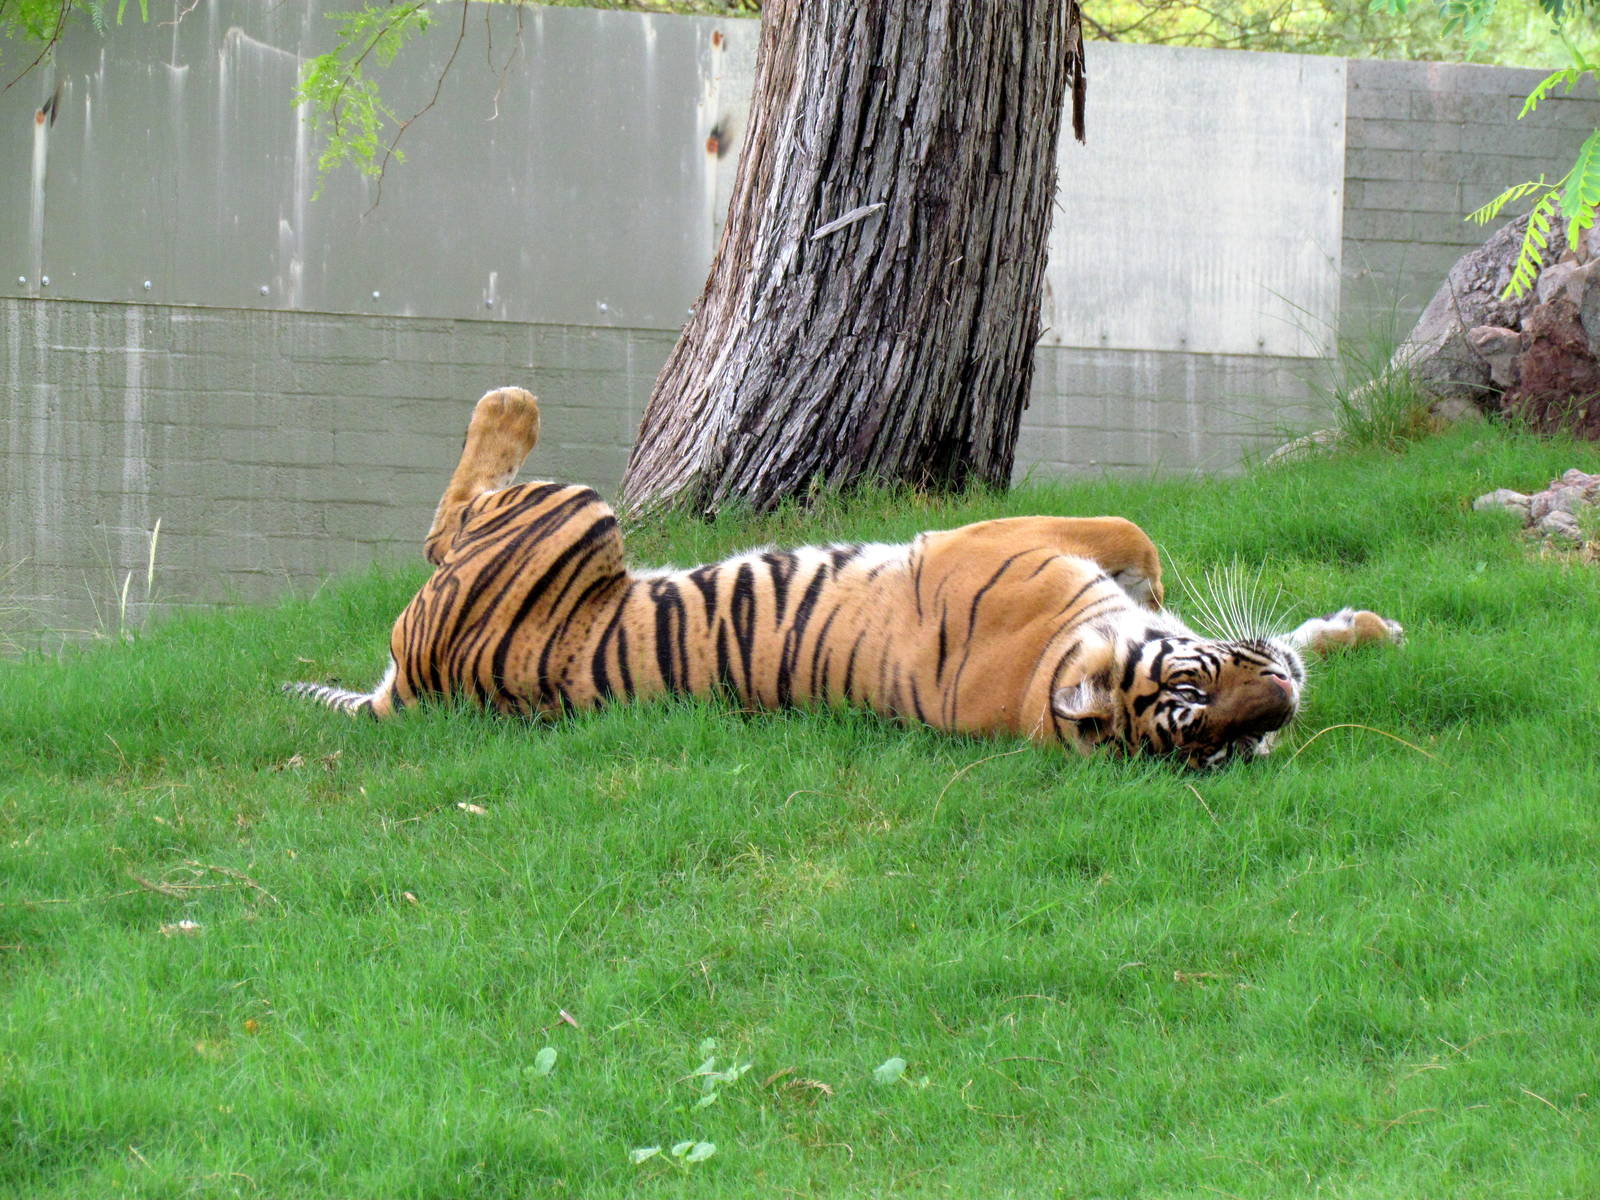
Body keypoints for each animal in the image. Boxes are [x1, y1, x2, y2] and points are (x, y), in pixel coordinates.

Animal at [288, 387, 1404, 769]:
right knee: (445, 521)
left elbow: (1293, 629)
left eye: (1231, 745)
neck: (1048, 681)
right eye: (1190, 695)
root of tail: (414, 690)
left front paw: (1365, 631)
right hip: (575, 509)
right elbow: (1136, 537)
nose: (1281, 708)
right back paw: (508, 399)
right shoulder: (1003, 534)